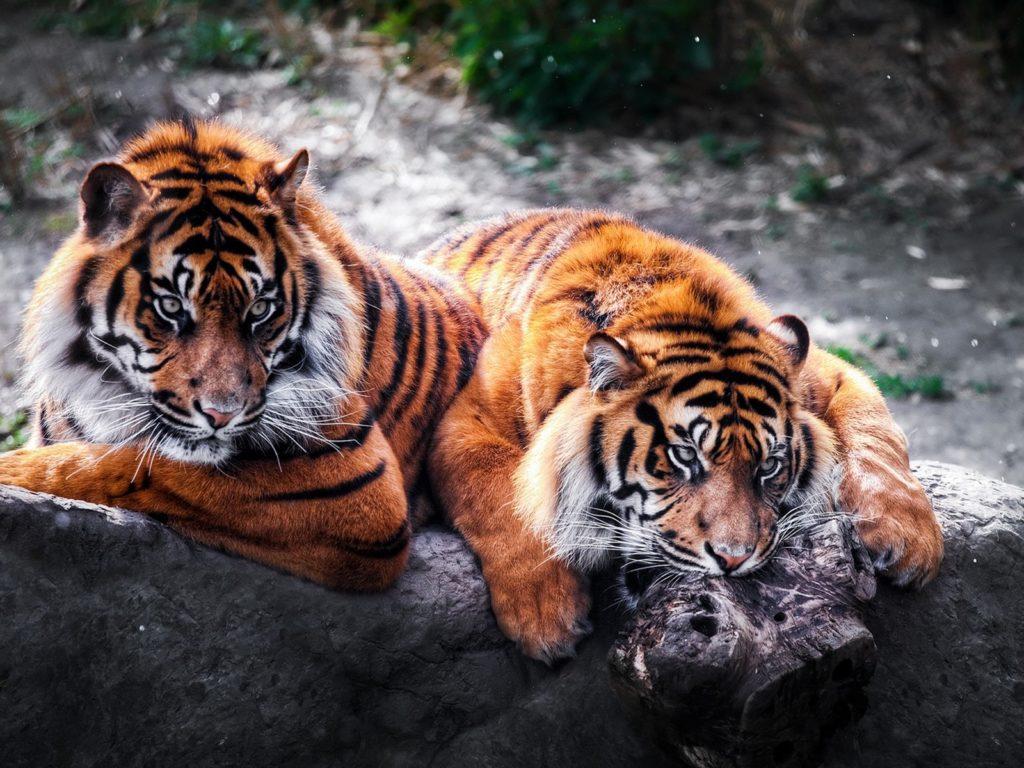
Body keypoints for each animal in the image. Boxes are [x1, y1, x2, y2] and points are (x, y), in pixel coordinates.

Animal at [421, 208, 944, 662]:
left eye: (769, 466)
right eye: (683, 457)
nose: (733, 560)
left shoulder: (830, 374)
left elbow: (876, 432)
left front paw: (909, 539)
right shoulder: (463, 421)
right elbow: (504, 496)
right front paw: (546, 615)